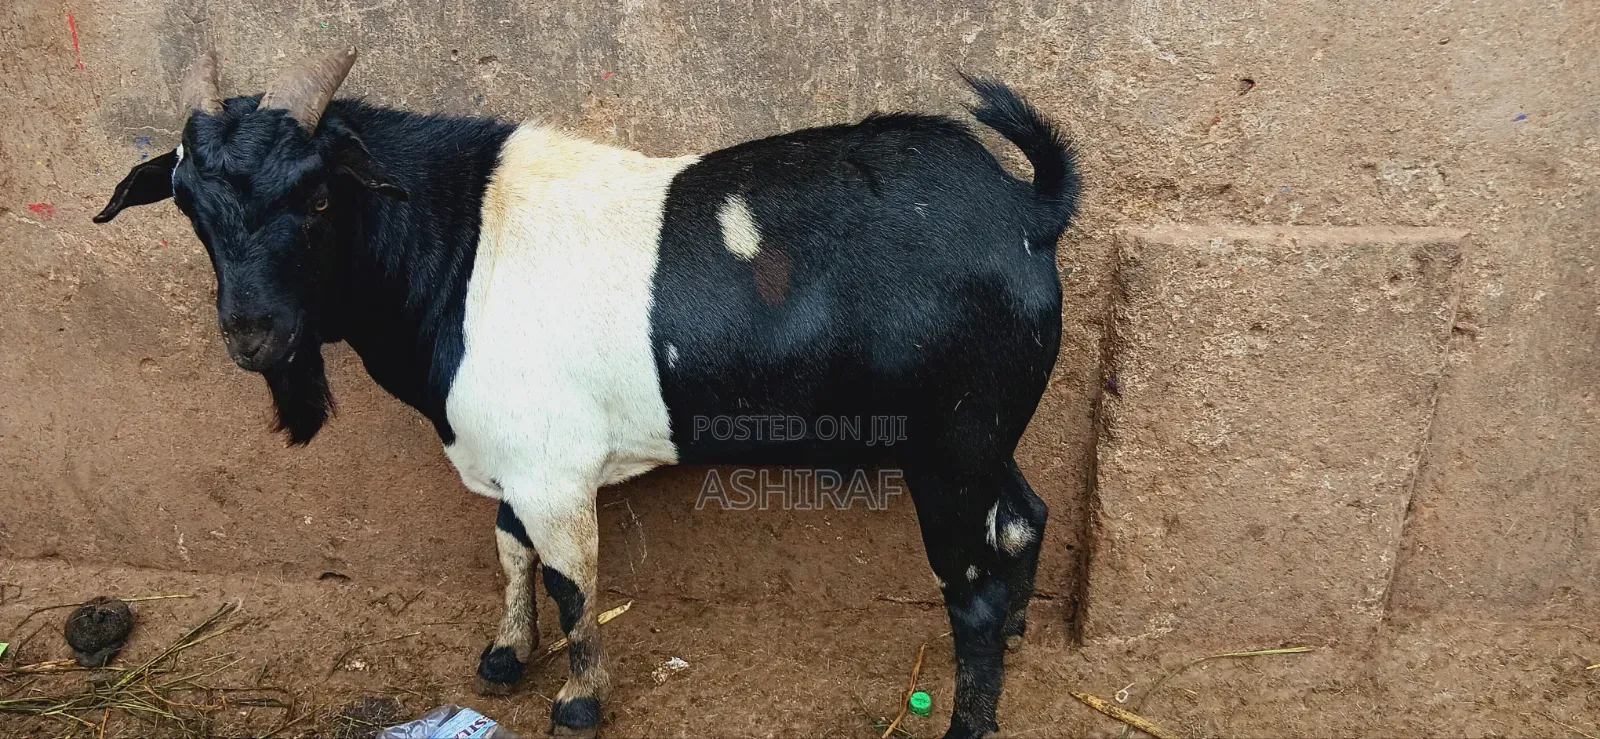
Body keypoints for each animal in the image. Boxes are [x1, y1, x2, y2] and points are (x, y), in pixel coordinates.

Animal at [96, 48, 1078, 739]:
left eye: (319, 199)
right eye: (185, 203)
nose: (252, 335)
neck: (461, 246)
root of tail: (1027, 210)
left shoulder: (553, 469)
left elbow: (573, 576)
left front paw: (577, 700)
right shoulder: (511, 454)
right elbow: (510, 549)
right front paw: (504, 655)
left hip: (949, 443)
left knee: (971, 580)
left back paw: (969, 712)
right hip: (988, 432)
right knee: (1024, 515)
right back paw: (1021, 629)